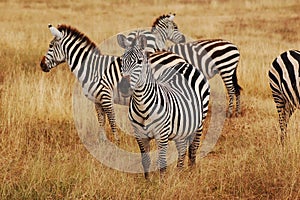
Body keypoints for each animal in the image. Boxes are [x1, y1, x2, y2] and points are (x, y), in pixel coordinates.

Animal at [117, 34, 211, 178]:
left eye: (139, 61)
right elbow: (145, 160)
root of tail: (185, 64)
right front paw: (147, 181)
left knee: (193, 146)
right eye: (122, 61)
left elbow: (162, 161)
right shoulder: (139, 134)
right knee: (182, 147)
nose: (123, 87)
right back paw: (179, 172)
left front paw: (162, 182)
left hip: (200, 121)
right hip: (181, 125)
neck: (142, 106)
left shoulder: (162, 134)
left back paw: (192, 170)